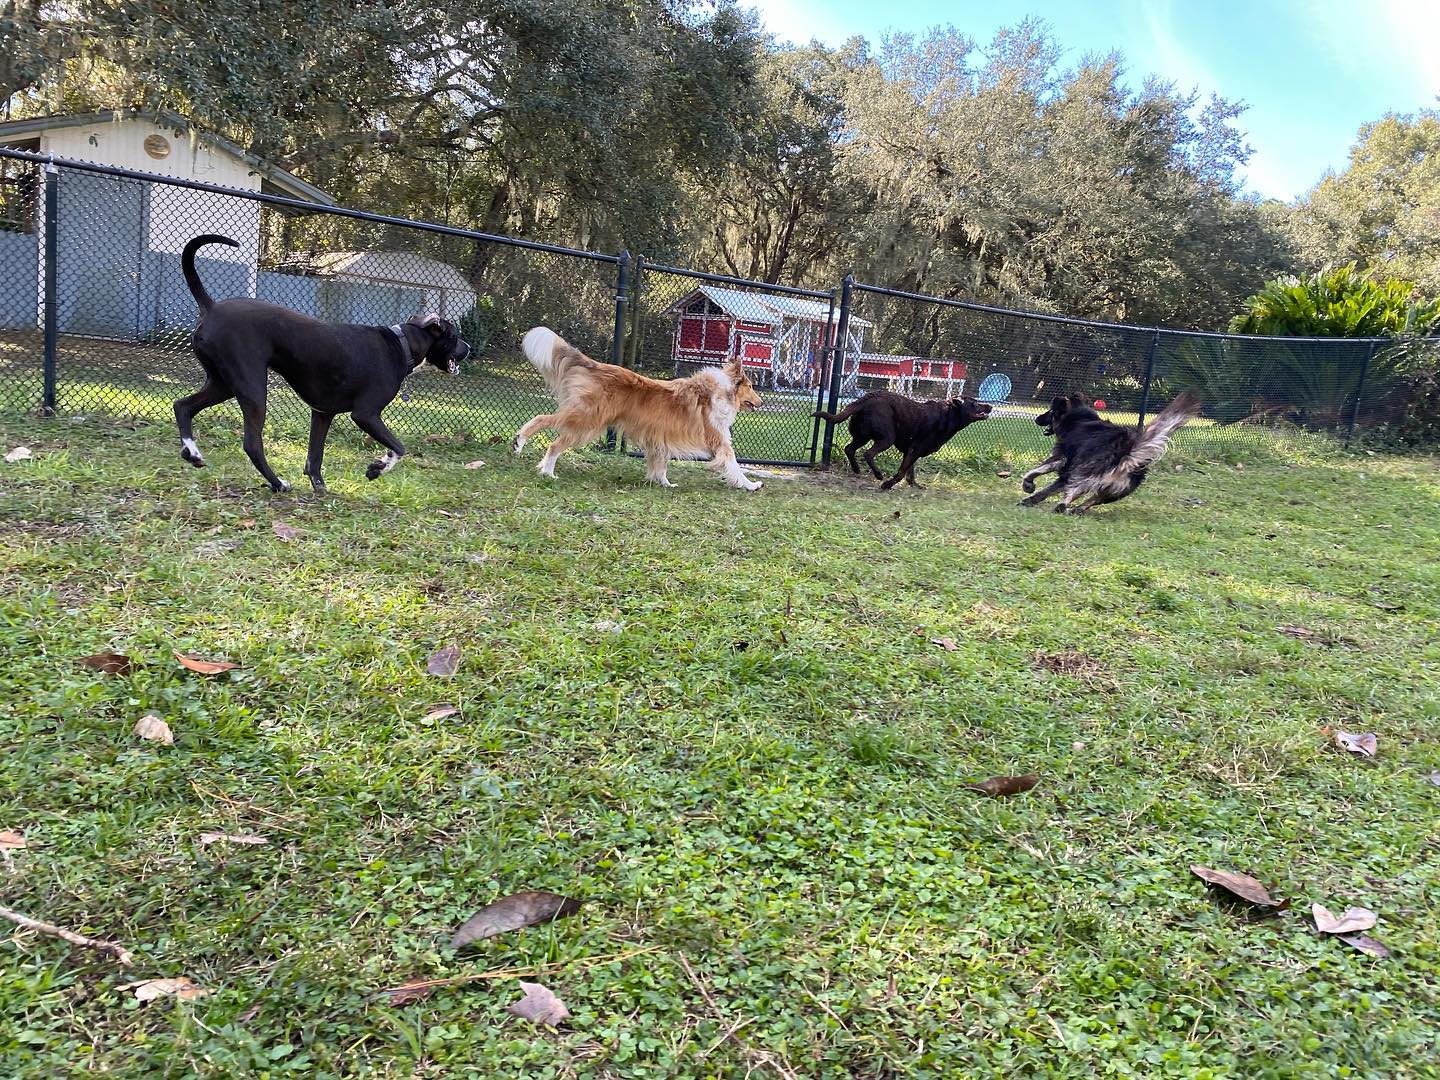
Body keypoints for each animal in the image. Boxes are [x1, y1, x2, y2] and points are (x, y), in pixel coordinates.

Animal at [172, 234, 469, 498]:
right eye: (454, 336)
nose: (468, 348)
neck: (402, 344)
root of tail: (211, 307)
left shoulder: (323, 413)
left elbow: (314, 458)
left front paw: (321, 488)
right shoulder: (366, 414)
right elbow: (399, 448)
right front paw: (377, 468)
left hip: (224, 384)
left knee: (182, 406)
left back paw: (192, 452)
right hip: (252, 389)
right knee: (252, 444)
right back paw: (277, 483)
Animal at [515, 328, 766, 492]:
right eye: (751, 387)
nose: (762, 402)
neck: (723, 390)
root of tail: (595, 365)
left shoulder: (660, 437)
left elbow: (660, 465)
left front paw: (665, 483)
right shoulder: (718, 440)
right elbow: (734, 464)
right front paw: (750, 484)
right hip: (586, 420)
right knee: (550, 435)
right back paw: (542, 465)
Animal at [817, 388, 996, 489]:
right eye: (975, 403)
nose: (990, 405)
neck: (948, 415)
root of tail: (867, 398)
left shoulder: (911, 451)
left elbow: (911, 472)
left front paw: (914, 485)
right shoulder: (914, 450)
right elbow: (902, 472)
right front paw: (887, 485)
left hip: (862, 436)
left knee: (849, 449)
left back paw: (856, 469)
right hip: (886, 438)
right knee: (868, 454)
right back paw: (878, 475)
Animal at [1025, 394, 1203, 515]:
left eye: (1050, 411)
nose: (1036, 419)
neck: (1080, 419)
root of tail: (1128, 452)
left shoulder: (1062, 458)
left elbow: (1036, 471)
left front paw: (1027, 486)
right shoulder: (1067, 473)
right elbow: (1046, 490)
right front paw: (1030, 499)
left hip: (1085, 472)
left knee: (1073, 493)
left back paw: (1060, 507)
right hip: (1115, 490)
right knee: (1092, 499)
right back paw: (1077, 509)